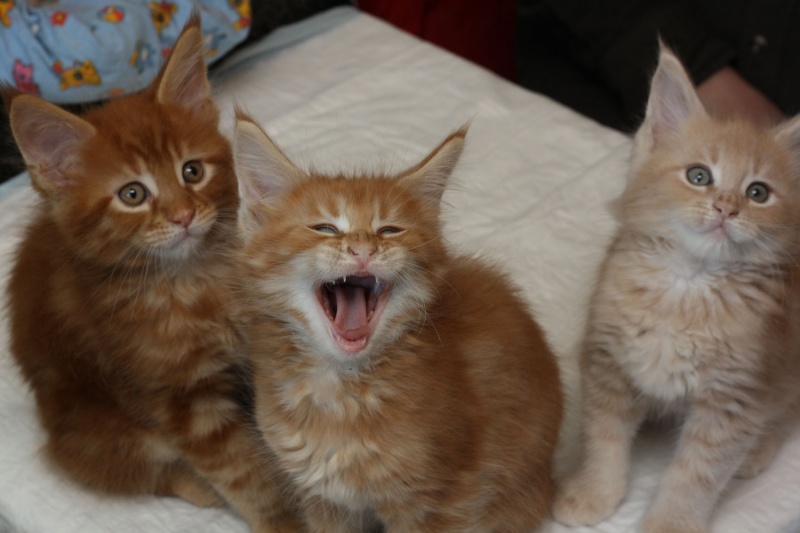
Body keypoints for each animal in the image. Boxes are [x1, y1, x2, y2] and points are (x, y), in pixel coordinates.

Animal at [5, 18, 300, 532]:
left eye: (192, 171)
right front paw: (283, 518)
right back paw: (197, 489)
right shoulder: (179, 396)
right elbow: (244, 469)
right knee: (130, 470)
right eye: (132, 194)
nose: (184, 216)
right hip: (103, 429)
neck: (194, 280)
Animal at [232, 114, 564, 533]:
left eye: (389, 230)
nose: (363, 248)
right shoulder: (323, 498)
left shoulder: (441, 500)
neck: (344, 391)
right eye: (325, 228)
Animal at [553, 46, 800, 533]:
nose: (726, 208)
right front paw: (594, 492)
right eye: (700, 176)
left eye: (758, 193)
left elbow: (695, 478)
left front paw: (671, 523)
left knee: (785, 411)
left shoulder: (735, 399)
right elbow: (602, 440)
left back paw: (759, 450)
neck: (688, 286)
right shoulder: (608, 360)